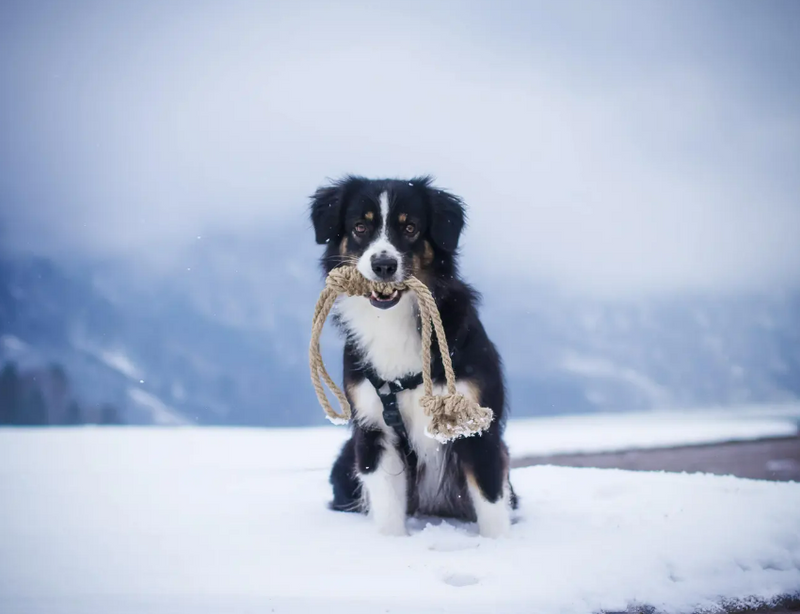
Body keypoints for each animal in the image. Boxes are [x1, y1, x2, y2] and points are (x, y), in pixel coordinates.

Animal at [310, 176, 516, 536]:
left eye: (410, 228)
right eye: (360, 226)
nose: (383, 265)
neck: (393, 319)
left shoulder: (478, 425)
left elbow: (490, 500)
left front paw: (501, 544)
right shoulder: (373, 428)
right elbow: (387, 503)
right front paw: (393, 543)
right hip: (345, 460)